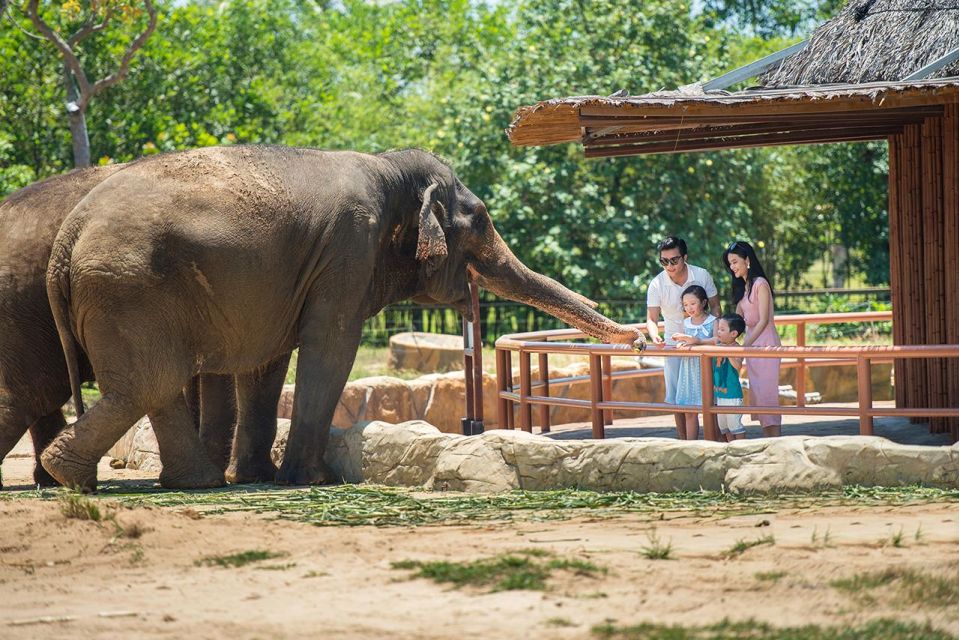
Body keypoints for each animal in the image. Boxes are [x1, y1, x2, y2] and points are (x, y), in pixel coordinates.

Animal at [45, 148, 644, 492]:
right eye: (481, 220)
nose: (640, 338)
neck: (389, 166)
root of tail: (66, 239)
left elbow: (267, 362)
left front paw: (262, 478)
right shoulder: (349, 246)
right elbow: (331, 344)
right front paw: (315, 479)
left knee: (155, 384)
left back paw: (178, 483)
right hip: (130, 288)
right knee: (151, 380)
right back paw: (74, 476)